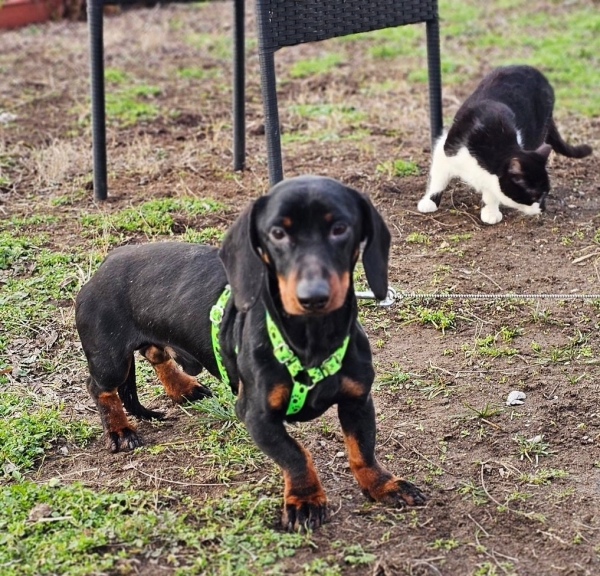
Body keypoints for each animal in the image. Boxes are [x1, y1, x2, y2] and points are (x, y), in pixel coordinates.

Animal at [75, 175, 426, 530]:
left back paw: (183, 388)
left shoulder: (358, 400)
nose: (313, 297)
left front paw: (382, 485)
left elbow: (362, 450)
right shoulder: (256, 414)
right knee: (101, 388)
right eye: (277, 233)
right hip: (111, 360)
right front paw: (305, 501)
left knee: (156, 355)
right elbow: (296, 454)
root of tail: (103, 266)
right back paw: (120, 430)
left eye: (340, 228)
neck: (312, 341)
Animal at [417, 65, 592, 224]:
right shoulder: (446, 151)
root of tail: (534, 69)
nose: (543, 208)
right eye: (535, 196)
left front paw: (490, 211)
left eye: (546, 193)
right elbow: (438, 179)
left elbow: (491, 191)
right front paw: (430, 201)